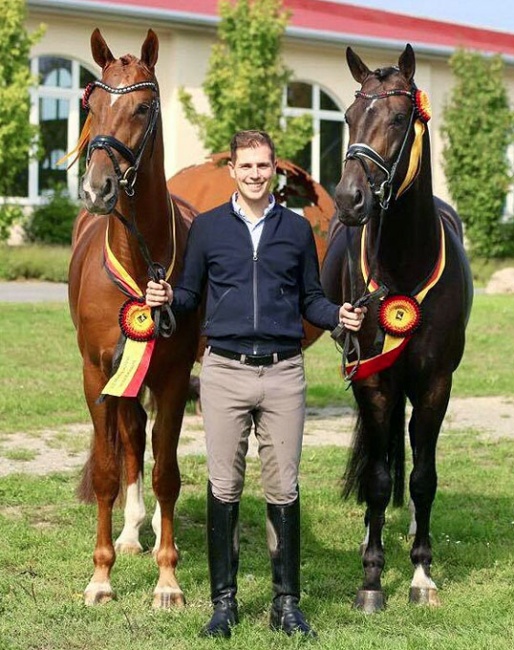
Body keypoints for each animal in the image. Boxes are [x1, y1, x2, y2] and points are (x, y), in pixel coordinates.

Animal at [320, 44, 472, 608]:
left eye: (401, 118)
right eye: (346, 116)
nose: (349, 199)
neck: (406, 264)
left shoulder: (434, 383)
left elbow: (423, 477)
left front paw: (422, 574)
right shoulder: (373, 379)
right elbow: (379, 477)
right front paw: (371, 578)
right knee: (377, 458)